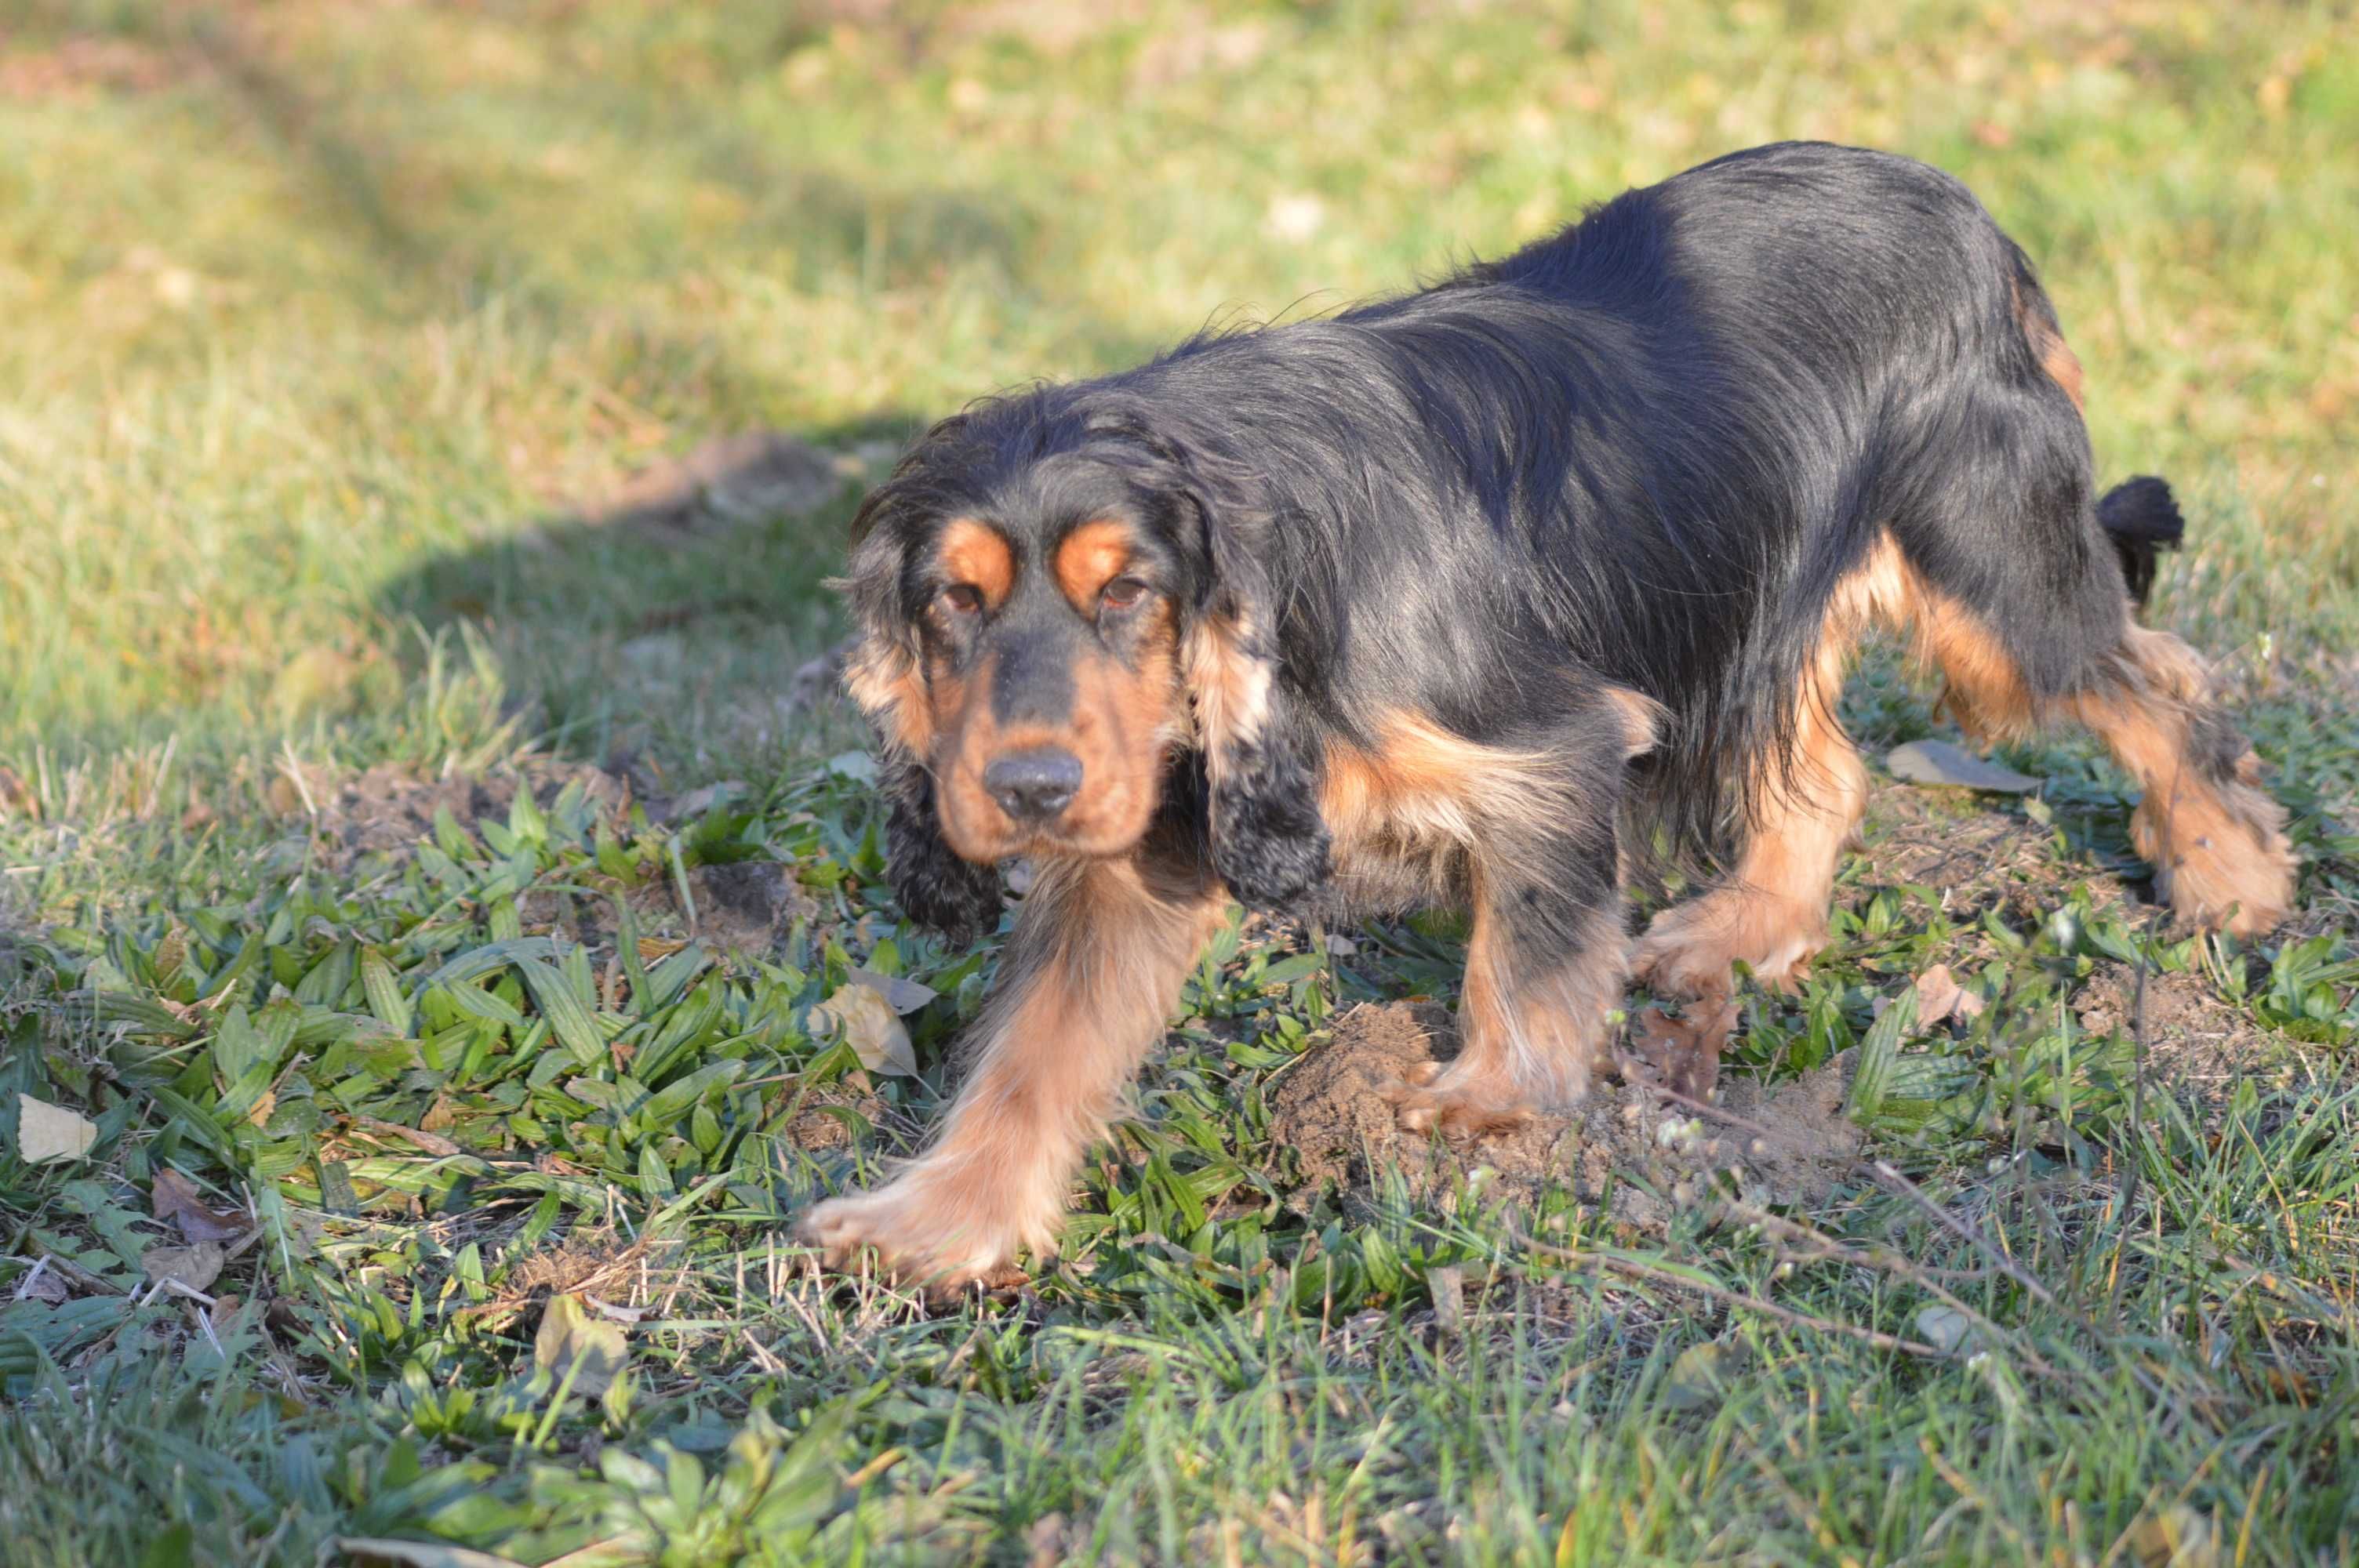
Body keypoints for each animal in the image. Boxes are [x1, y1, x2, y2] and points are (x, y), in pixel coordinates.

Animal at [801, 143, 2292, 1283]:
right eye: (952, 603)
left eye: (1127, 594)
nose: (1028, 795)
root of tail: (1966, 211)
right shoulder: (1152, 822)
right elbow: (1035, 1050)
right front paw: (936, 1223)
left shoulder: (1550, 746)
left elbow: (1520, 955)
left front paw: (1485, 1109)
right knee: (1829, 772)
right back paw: (1741, 932)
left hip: (1989, 581)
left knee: (2158, 683)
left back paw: (2230, 876)